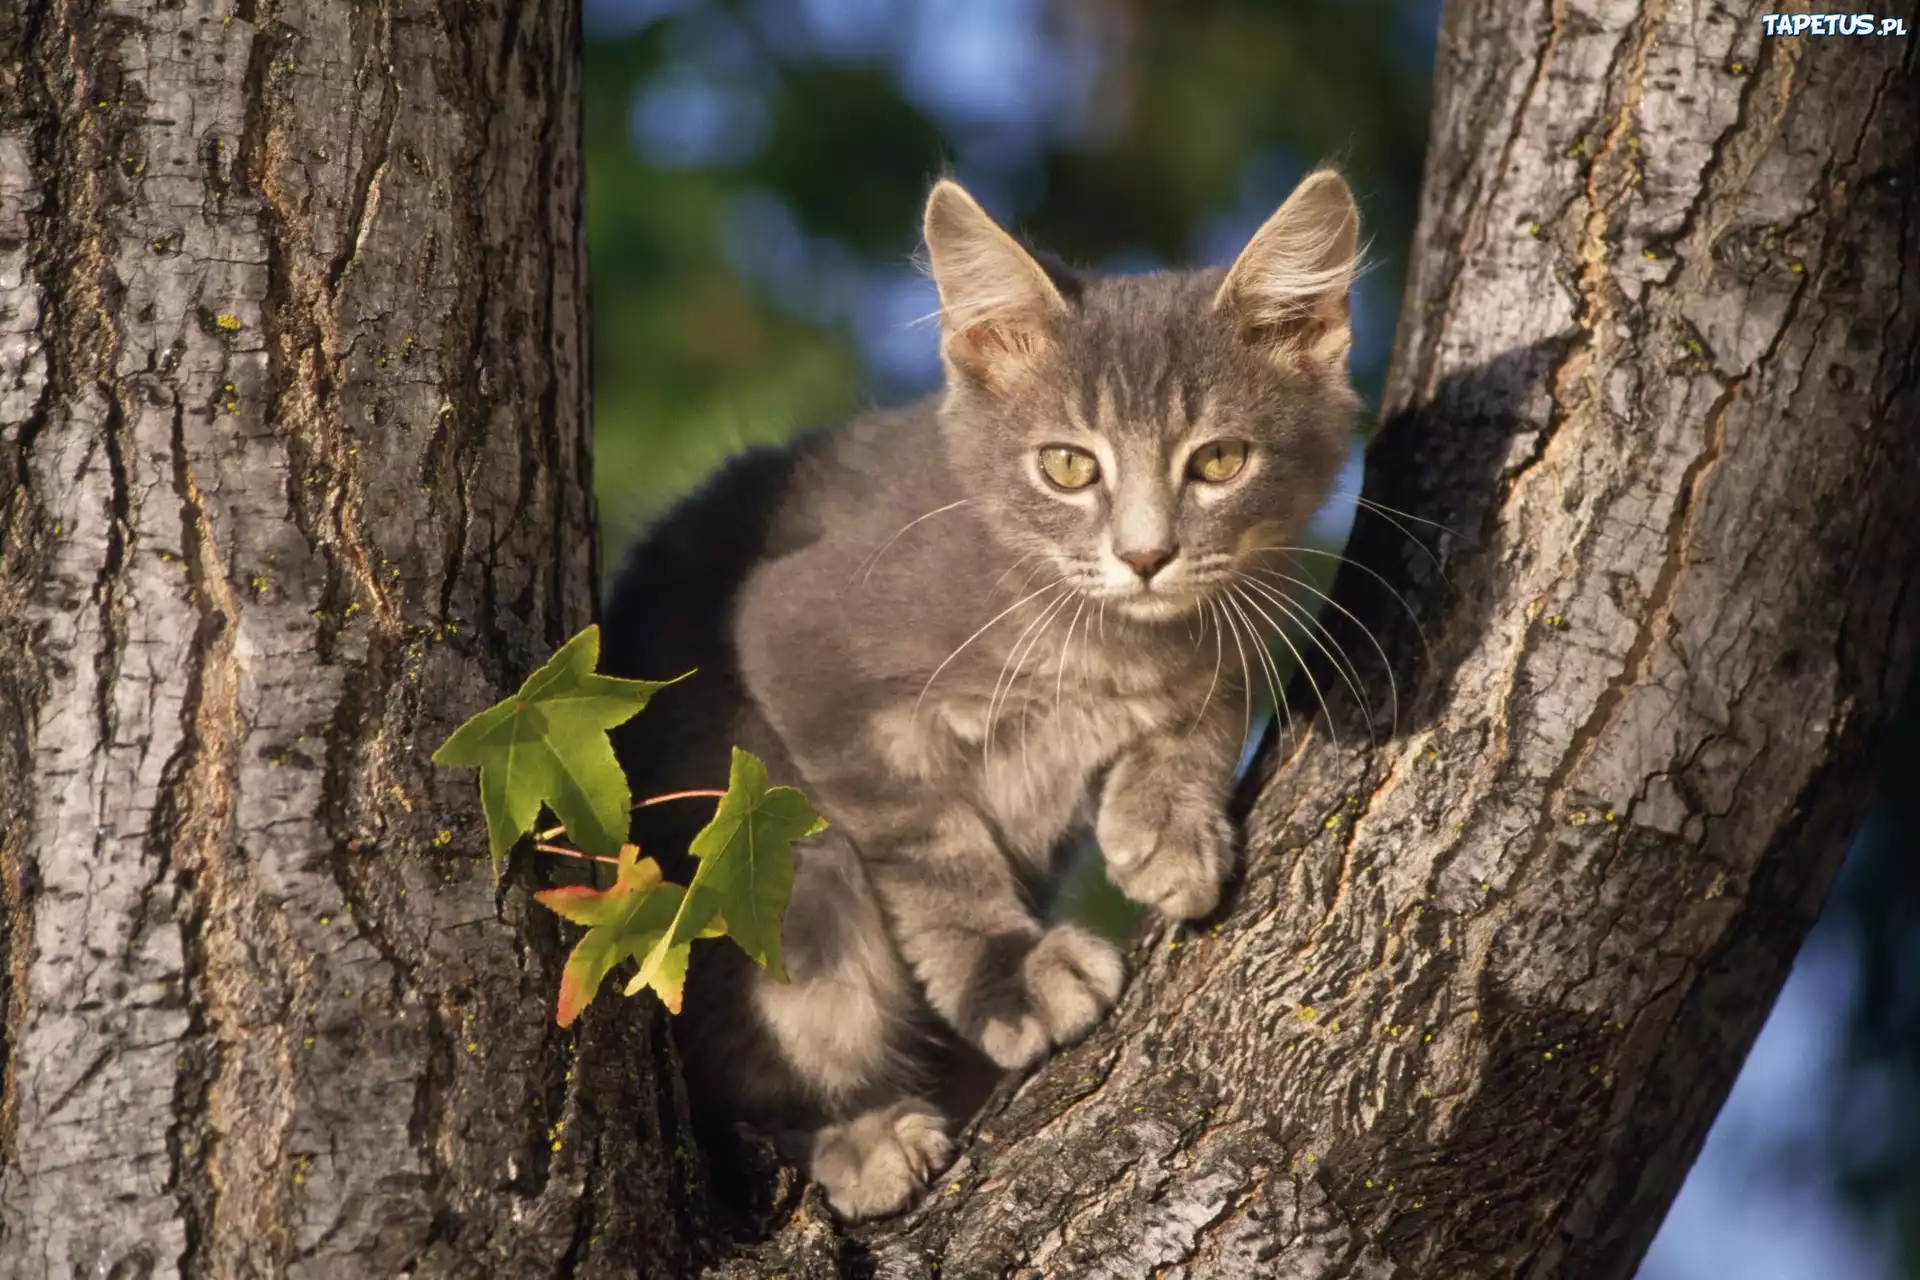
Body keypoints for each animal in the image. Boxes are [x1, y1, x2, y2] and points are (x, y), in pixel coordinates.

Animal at [602, 167, 1367, 1220]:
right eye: (1068, 465)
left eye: (1218, 461)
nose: (1145, 556)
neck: (1104, 638)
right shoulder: (796, 637)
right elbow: (931, 844)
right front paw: (1009, 973)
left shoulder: (1245, 615)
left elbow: (1205, 704)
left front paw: (1167, 822)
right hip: (753, 835)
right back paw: (856, 1137)